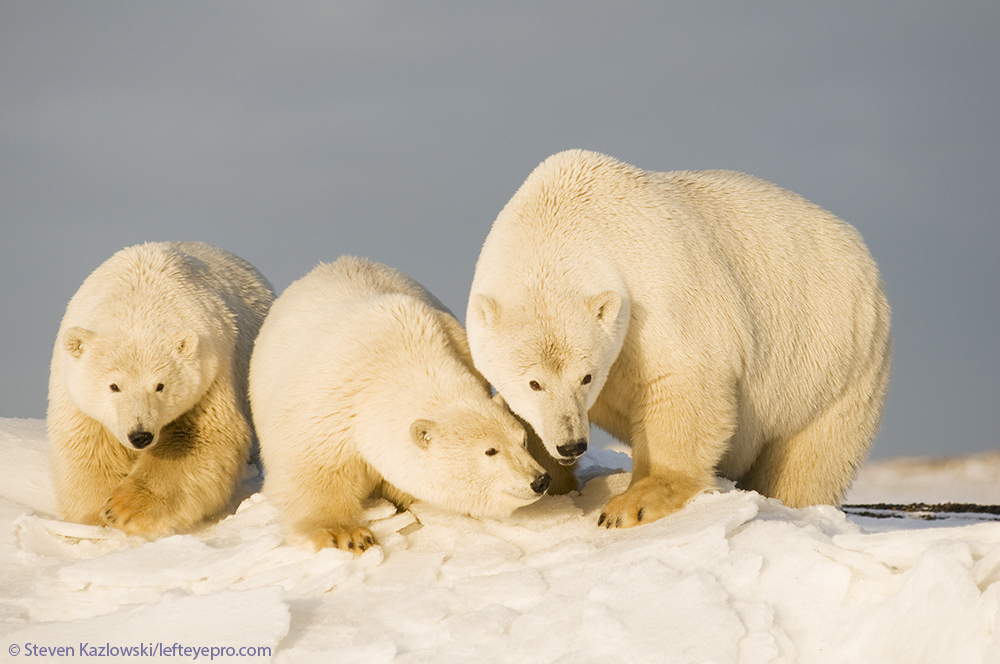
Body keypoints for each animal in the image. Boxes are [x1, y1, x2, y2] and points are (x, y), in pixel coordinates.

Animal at [47, 241, 274, 536]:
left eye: (159, 386)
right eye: (114, 386)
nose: (140, 436)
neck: (138, 301)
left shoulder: (211, 373)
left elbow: (199, 439)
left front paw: (123, 510)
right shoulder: (72, 387)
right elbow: (88, 447)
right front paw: (96, 517)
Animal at [246, 256, 552, 552]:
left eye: (523, 440)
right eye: (490, 451)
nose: (539, 480)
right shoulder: (326, 405)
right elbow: (315, 473)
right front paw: (346, 536)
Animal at [466, 149, 892, 528]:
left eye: (586, 376)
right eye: (533, 383)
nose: (571, 445)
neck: (564, 219)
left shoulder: (657, 292)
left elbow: (684, 382)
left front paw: (630, 505)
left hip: (833, 362)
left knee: (811, 458)